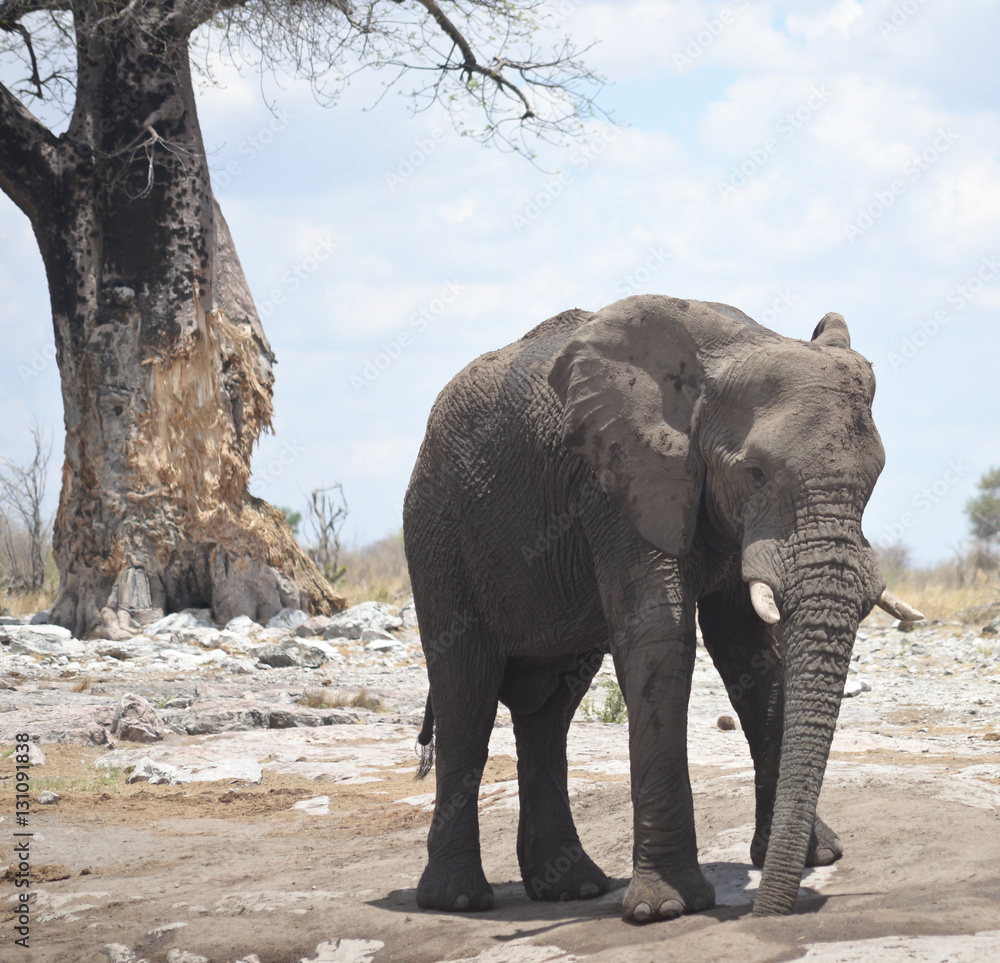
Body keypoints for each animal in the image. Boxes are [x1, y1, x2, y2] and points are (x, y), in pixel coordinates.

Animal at [402, 295, 922, 922]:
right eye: (755, 473)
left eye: (875, 477)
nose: (769, 913)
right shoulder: (616, 479)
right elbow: (659, 639)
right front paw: (666, 908)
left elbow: (750, 651)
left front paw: (813, 857)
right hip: (437, 532)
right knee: (467, 691)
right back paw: (458, 899)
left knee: (550, 709)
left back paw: (571, 888)